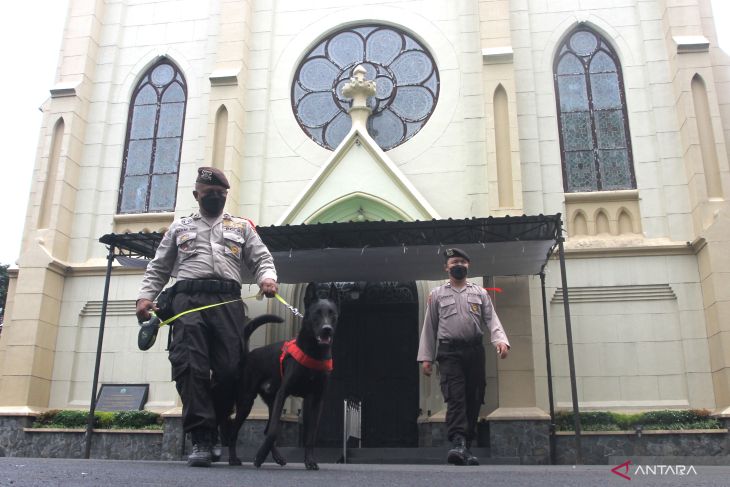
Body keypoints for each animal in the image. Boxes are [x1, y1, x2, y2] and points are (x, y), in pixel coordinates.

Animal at [228, 284, 338, 470]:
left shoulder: (316, 400)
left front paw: (310, 461)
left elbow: (310, 435)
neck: (313, 353)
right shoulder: (283, 393)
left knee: (264, 429)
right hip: (247, 401)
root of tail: (249, 355)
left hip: (271, 401)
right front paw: (259, 456)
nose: (327, 330)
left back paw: (277, 457)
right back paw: (233, 458)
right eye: (316, 313)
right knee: (234, 430)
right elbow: (273, 430)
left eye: (332, 313)